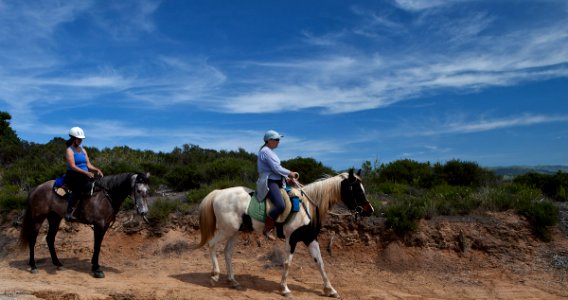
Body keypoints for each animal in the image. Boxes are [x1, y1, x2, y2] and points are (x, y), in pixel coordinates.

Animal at [19, 172, 150, 278]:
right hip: (38, 218)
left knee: (50, 239)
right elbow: (97, 246)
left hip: (54, 218)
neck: (105, 197)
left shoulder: (105, 226)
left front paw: (94, 265)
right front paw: (97, 269)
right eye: (138, 191)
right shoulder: (99, 225)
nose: (143, 212)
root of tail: (36, 188)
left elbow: (98, 245)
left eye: (147, 191)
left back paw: (58, 263)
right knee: (32, 239)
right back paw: (33, 266)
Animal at [193, 169, 374, 298]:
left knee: (228, 252)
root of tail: (218, 192)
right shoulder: (291, 239)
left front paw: (330, 289)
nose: (370, 210)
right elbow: (287, 263)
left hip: (235, 232)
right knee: (212, 245)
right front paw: (285, 289)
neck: (307, 207)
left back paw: (232, 281)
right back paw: (215, 276)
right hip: (226, 230)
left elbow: (320, 263)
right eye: (357, 190)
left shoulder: (310, 238)